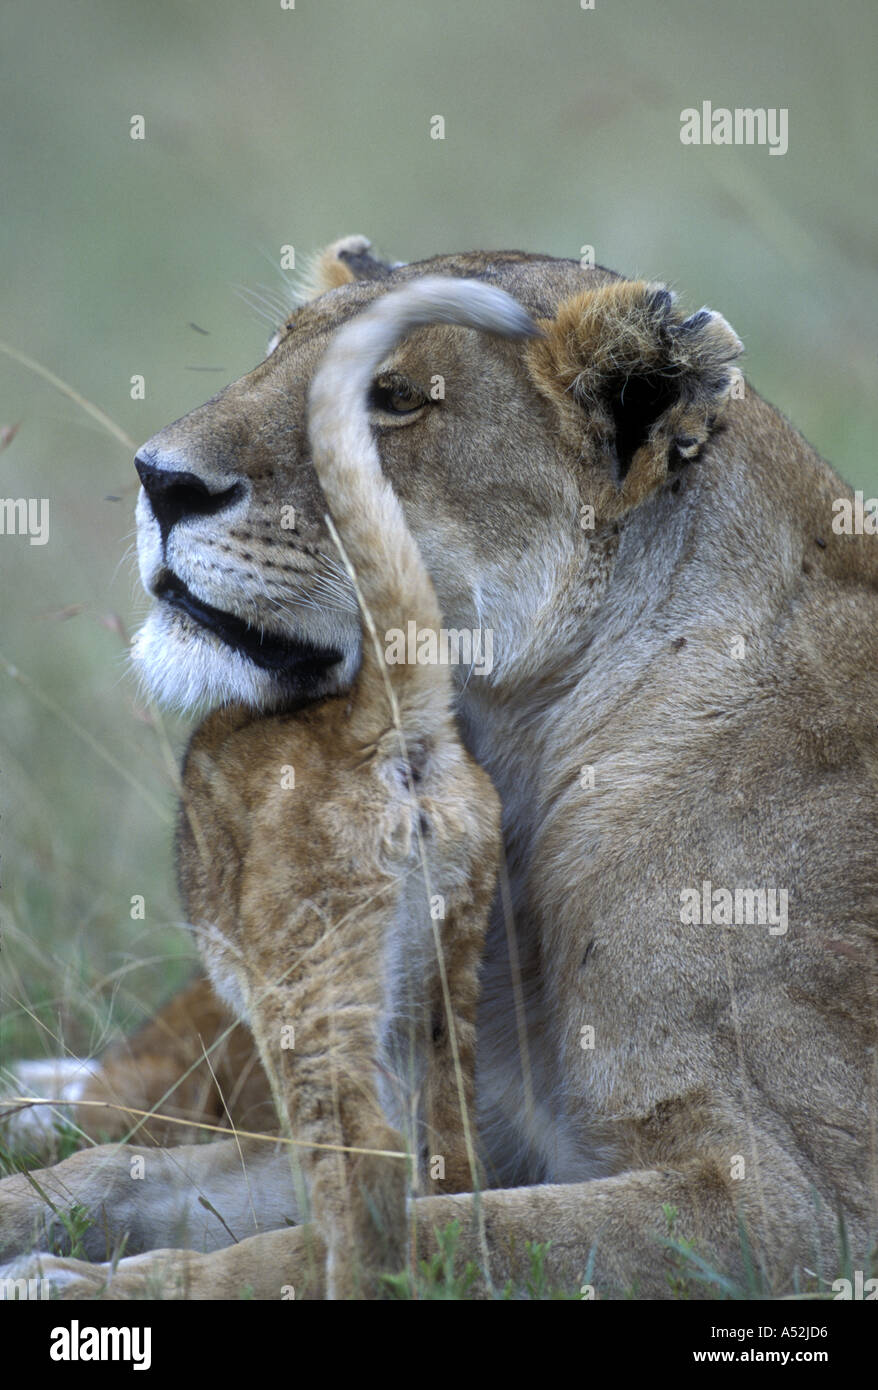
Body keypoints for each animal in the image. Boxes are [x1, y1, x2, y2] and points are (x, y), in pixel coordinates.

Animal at [1, 236, 876, 1300]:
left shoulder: (795, 1212)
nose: (159, 479)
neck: (528, 745)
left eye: (392, 401)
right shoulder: (451, 1122)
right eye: (272, 352)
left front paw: (79, 1283)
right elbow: (135, 1177)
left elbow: (414, 1242)